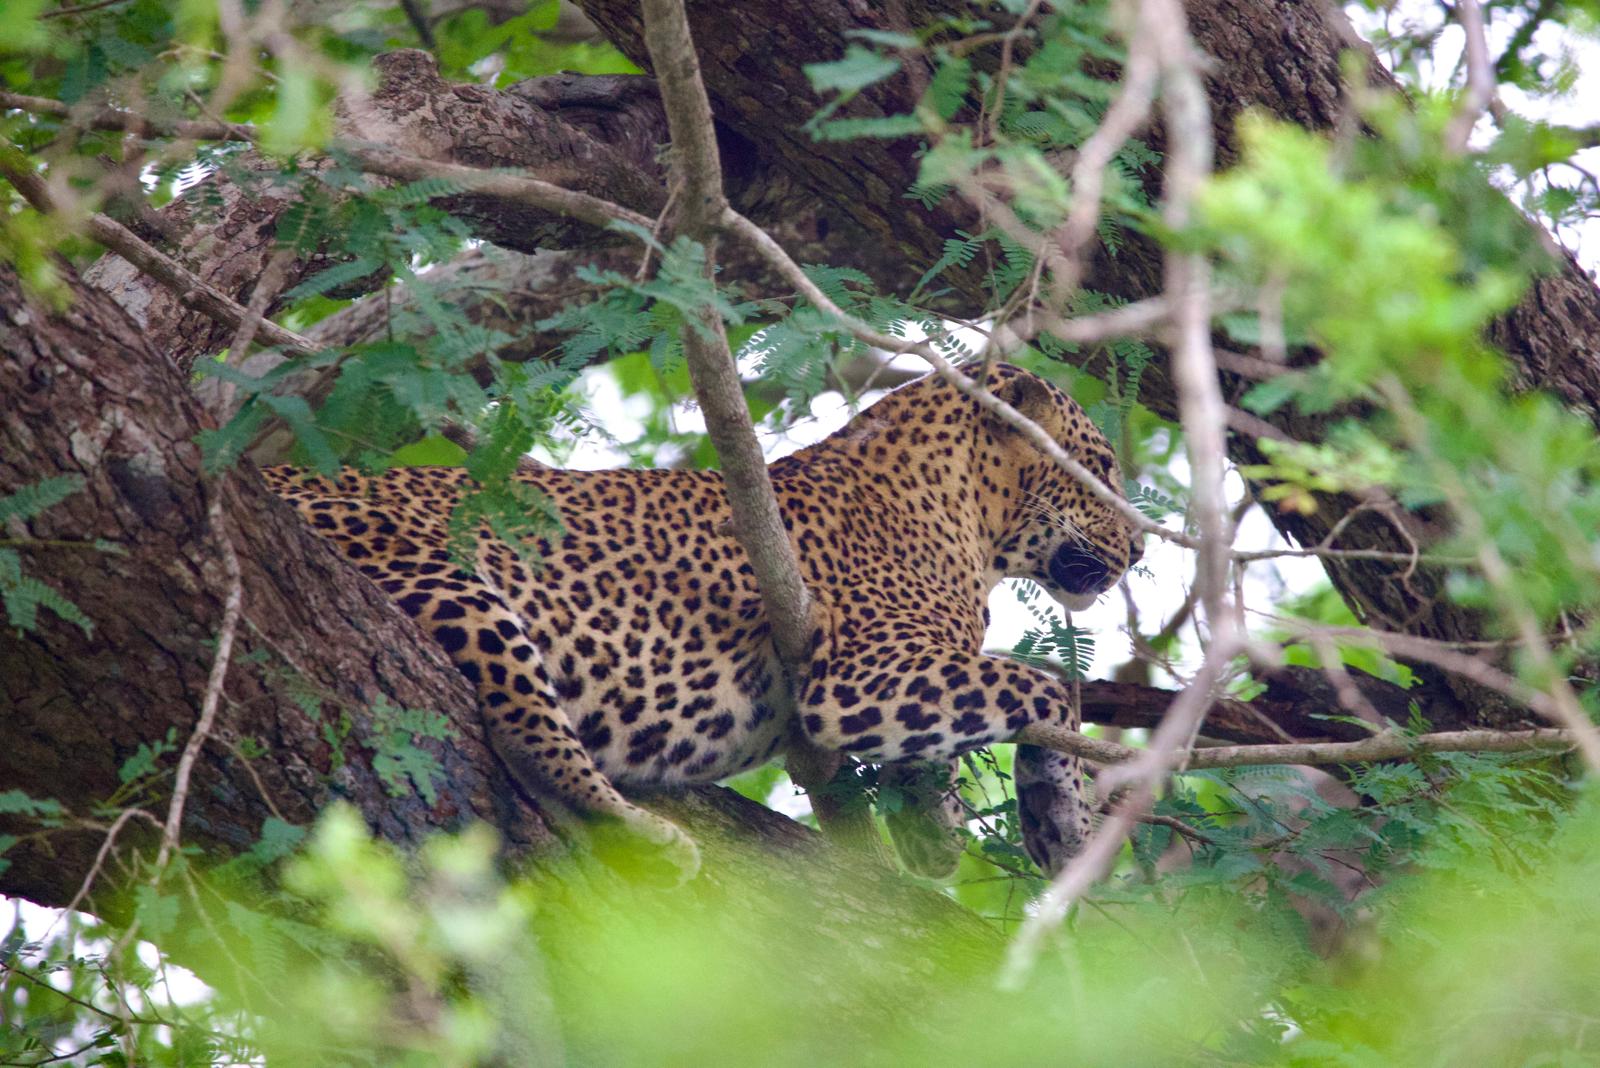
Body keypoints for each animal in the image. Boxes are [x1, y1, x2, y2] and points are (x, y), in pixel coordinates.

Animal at [262, 364, 1142, 884]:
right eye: (1099, 469)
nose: (1137, 548)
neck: (972, 519)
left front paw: (937, 827)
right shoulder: (858, 677)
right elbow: (1047, 687)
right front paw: (1061, 820)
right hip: (451, 578)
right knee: (529, 736)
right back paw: (645, 832)